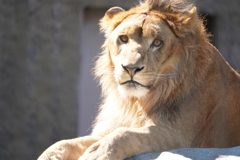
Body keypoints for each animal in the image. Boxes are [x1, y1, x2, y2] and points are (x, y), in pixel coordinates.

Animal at [37, 0, 240, 160]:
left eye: (157, 42)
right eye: (123, 38)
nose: (130, 68)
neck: (137, 103)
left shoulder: (184, 137)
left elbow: (127, 134)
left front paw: (97, 153)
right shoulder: (113, 126)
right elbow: (65, 143)